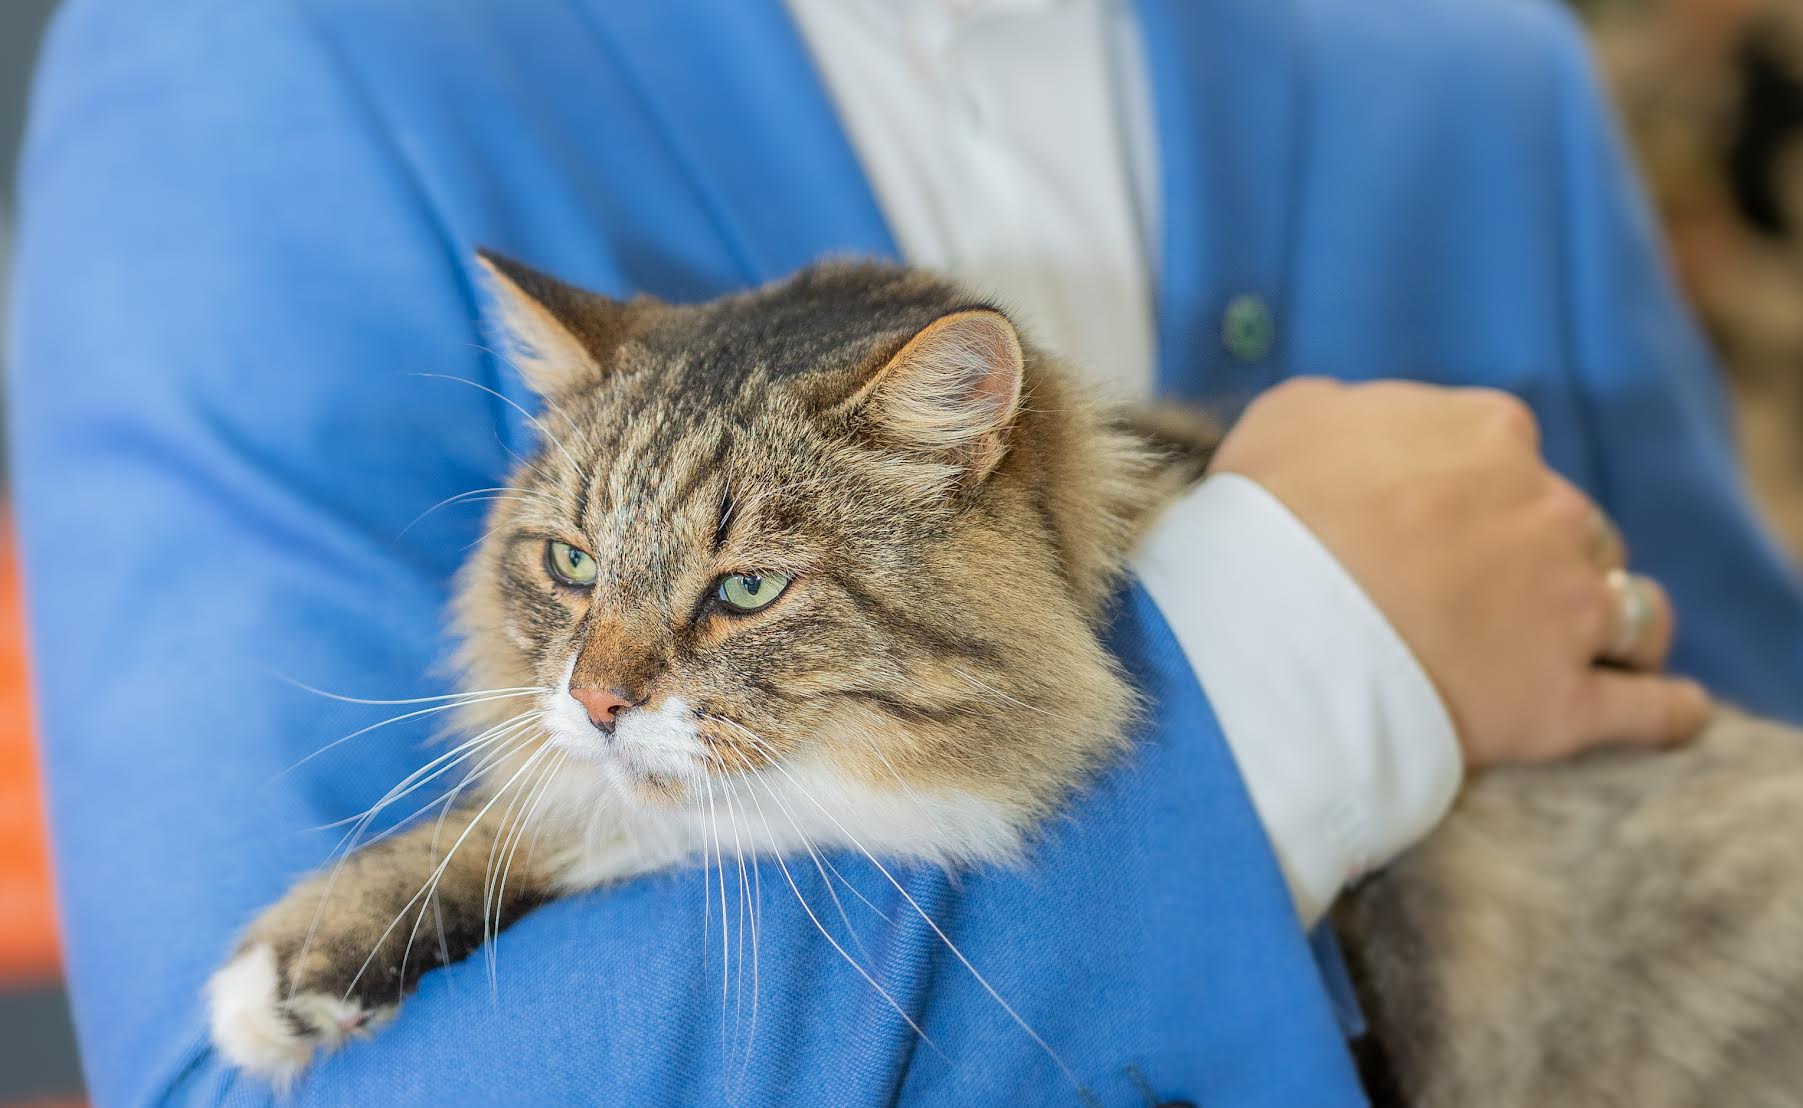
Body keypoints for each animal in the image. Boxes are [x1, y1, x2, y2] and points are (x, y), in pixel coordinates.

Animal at [204, 255, 1803, 1102]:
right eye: (573, 566)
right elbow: (565, 812)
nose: (597, 698)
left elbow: (663, 821)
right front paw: (318, 956)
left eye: (746, 590)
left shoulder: (887, 804)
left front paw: (309, 956)